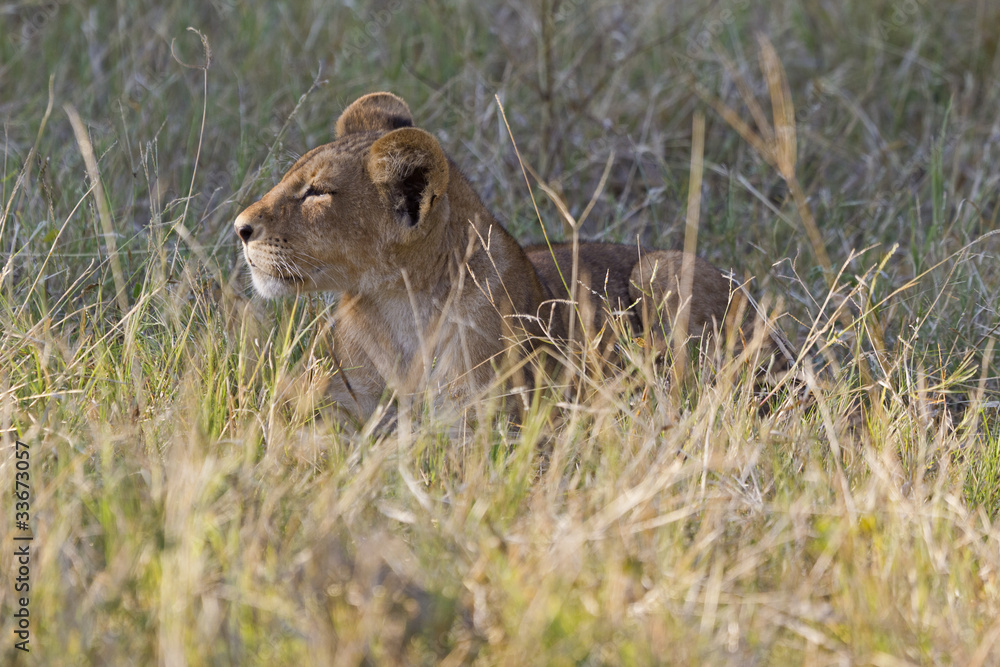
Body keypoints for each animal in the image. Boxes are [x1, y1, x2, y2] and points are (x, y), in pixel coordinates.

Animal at [234, 92, 794, 424]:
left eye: (316, 193)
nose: (239, 228)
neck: (400, 304)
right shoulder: (339, 403)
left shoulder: (487, 420)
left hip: (662, 270)